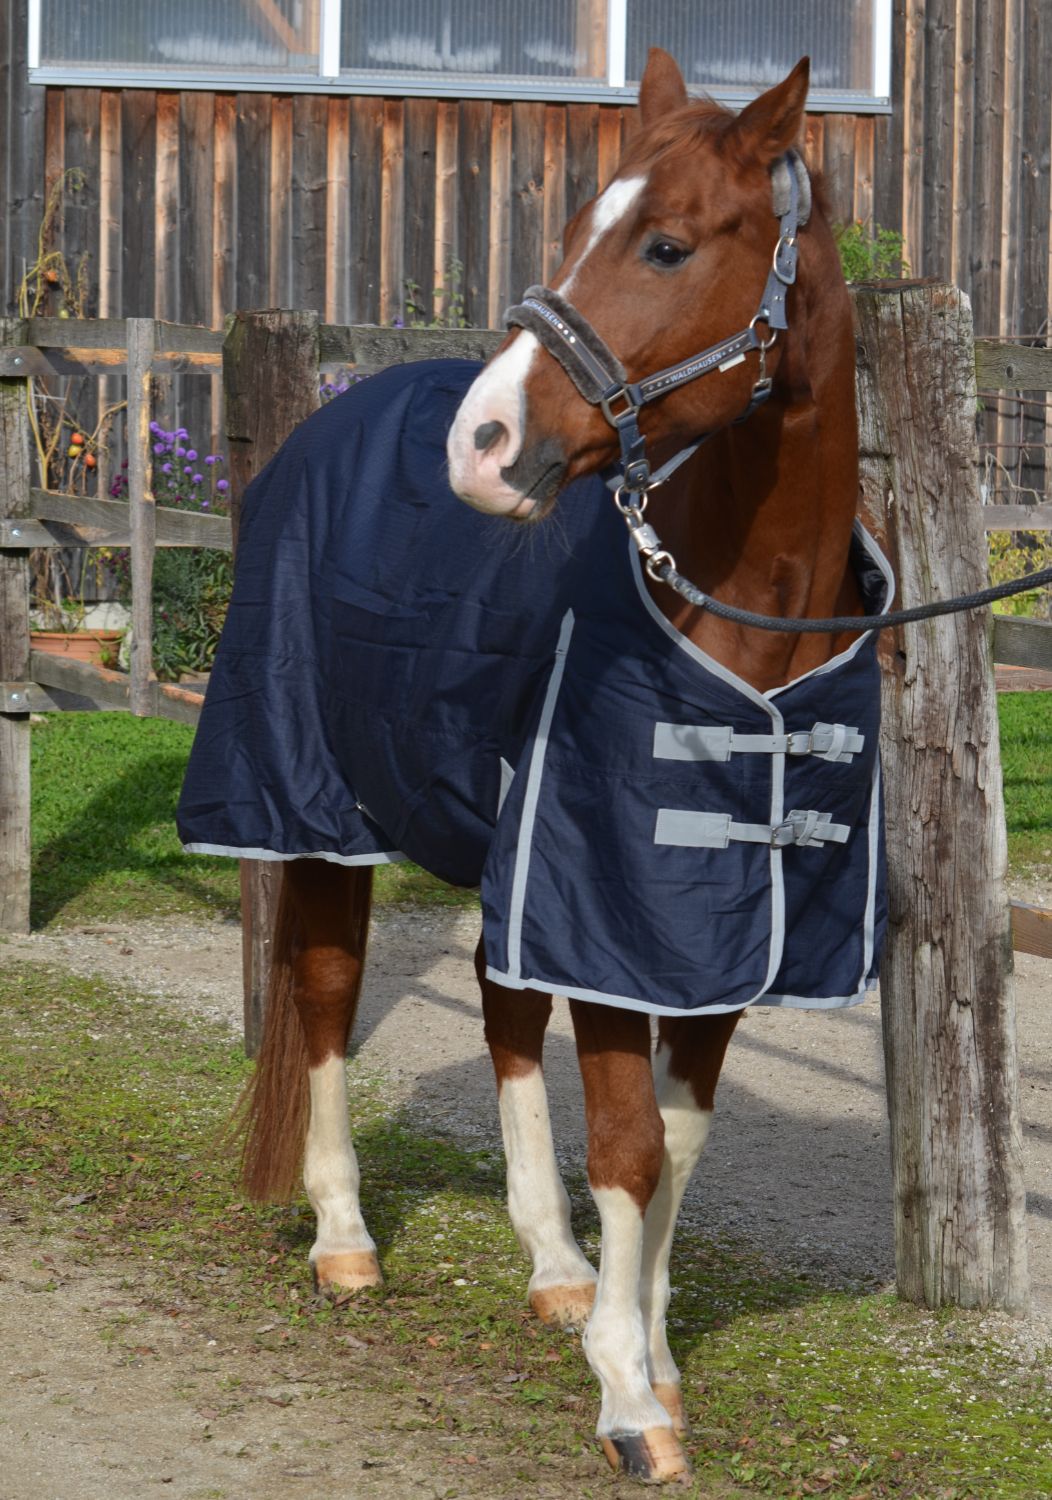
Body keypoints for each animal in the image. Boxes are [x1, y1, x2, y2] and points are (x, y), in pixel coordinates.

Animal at [179, 48, 889, 1485]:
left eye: (668, 243)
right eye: (571, 230)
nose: (483, 444)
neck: (742, 620)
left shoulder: (705, 937)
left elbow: (676, 1146)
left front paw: (646, 1346)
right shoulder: (607, 908)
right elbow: (625, 1145)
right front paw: (628, 1401)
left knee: (504, 1015)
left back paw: (555, 1265)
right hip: (318, 813)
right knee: (325, 995)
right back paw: (344, 1240)